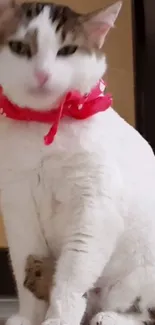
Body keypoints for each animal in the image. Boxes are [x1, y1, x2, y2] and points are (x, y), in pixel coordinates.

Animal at [0, 1, 155, 324]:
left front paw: (58, 319)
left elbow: (72, 275)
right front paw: (29, 318)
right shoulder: (19, 207)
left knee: (145, 312)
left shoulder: (93, 210)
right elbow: (24, 269)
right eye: (20, 47)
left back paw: (109, 317)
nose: (42, 75)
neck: (44, 127)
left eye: (67, 50)